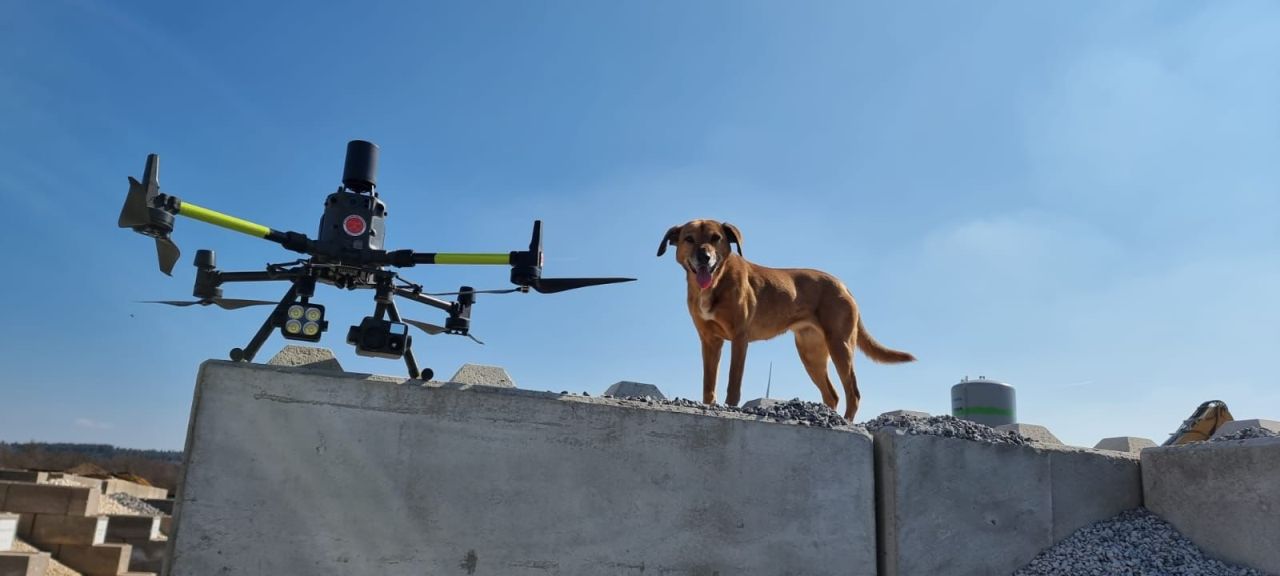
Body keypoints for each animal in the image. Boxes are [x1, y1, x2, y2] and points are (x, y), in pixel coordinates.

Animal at [655, 218, 916, 419]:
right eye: (689, 238)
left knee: (853, 393)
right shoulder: (709, 341)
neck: (716, 283)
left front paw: (730, 408)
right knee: (832, 394)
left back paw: (846, 422)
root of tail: (843, 285)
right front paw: (708, 406)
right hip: (811, 353)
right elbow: (709, 383)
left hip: (840, 345)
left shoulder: (740, 338)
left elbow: (733, 382)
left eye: (716, 237)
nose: (705, 257)